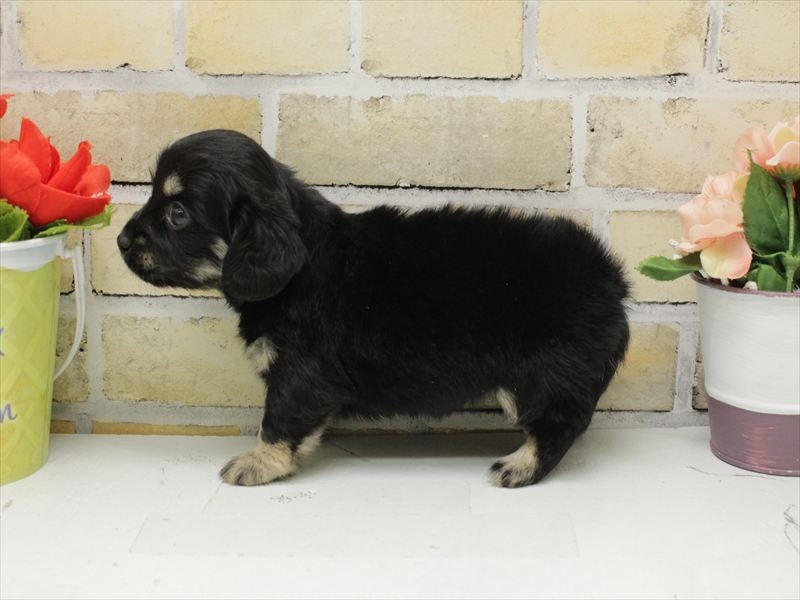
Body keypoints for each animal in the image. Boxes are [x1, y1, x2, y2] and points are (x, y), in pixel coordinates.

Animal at [118, 129, 630, 488]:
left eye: (177, 213)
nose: (120, 240)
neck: (298, 268)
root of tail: (609, 278)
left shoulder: (298, 374)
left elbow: (277, 421)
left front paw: (258, 463)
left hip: (540, 376)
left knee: (559, 424)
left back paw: (520, 466)